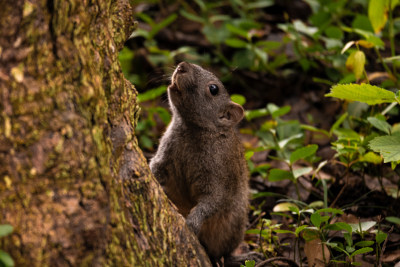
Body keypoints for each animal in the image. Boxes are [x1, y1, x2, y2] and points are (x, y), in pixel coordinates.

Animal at [148, 62, 252, 266]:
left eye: (213, 89)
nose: (182, 66)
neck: (191, 129)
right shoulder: (164, 155)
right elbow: (155, 169)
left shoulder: (218, 175)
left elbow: (212, 200)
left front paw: (192, 222)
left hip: (232, 228)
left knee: (223, 253)